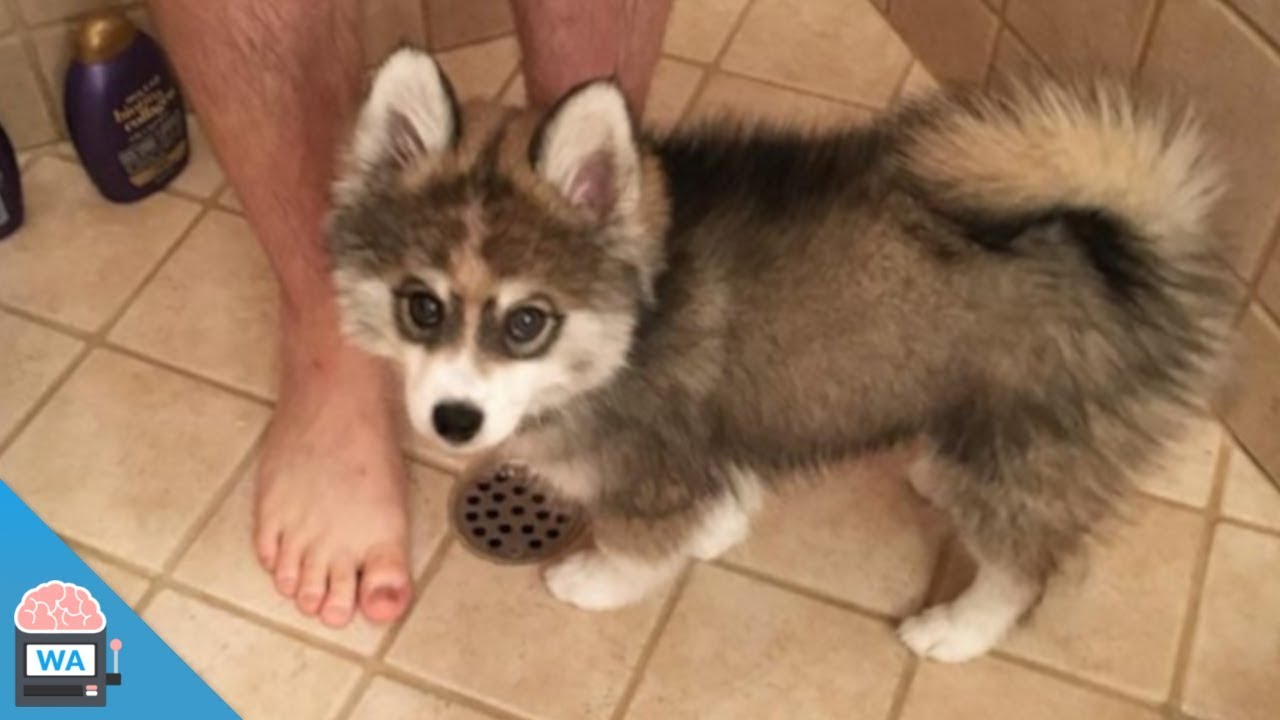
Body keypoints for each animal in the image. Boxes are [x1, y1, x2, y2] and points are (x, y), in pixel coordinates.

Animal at [326, 47, 1236, 662]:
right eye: (420, 306)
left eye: (526, 323)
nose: (453, 420)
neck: (628, 331)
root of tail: (1121, 252)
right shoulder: (704, 443)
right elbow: (721, 494)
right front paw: (720, 528)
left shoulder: (650, 468)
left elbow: (637, 542)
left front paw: (600, 580)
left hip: (1027, 445)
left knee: (1023, 569)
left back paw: (958, 629)